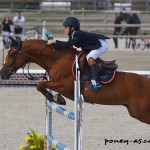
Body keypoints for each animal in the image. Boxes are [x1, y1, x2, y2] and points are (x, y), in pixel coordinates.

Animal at [0, 36, 150, 125]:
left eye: (11, 54)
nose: (2, 73)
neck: (56, 58)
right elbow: (41, 85)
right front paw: (56, 98)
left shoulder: (65, 87)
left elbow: (40, 84)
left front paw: (56, 98)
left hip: (141, 113)